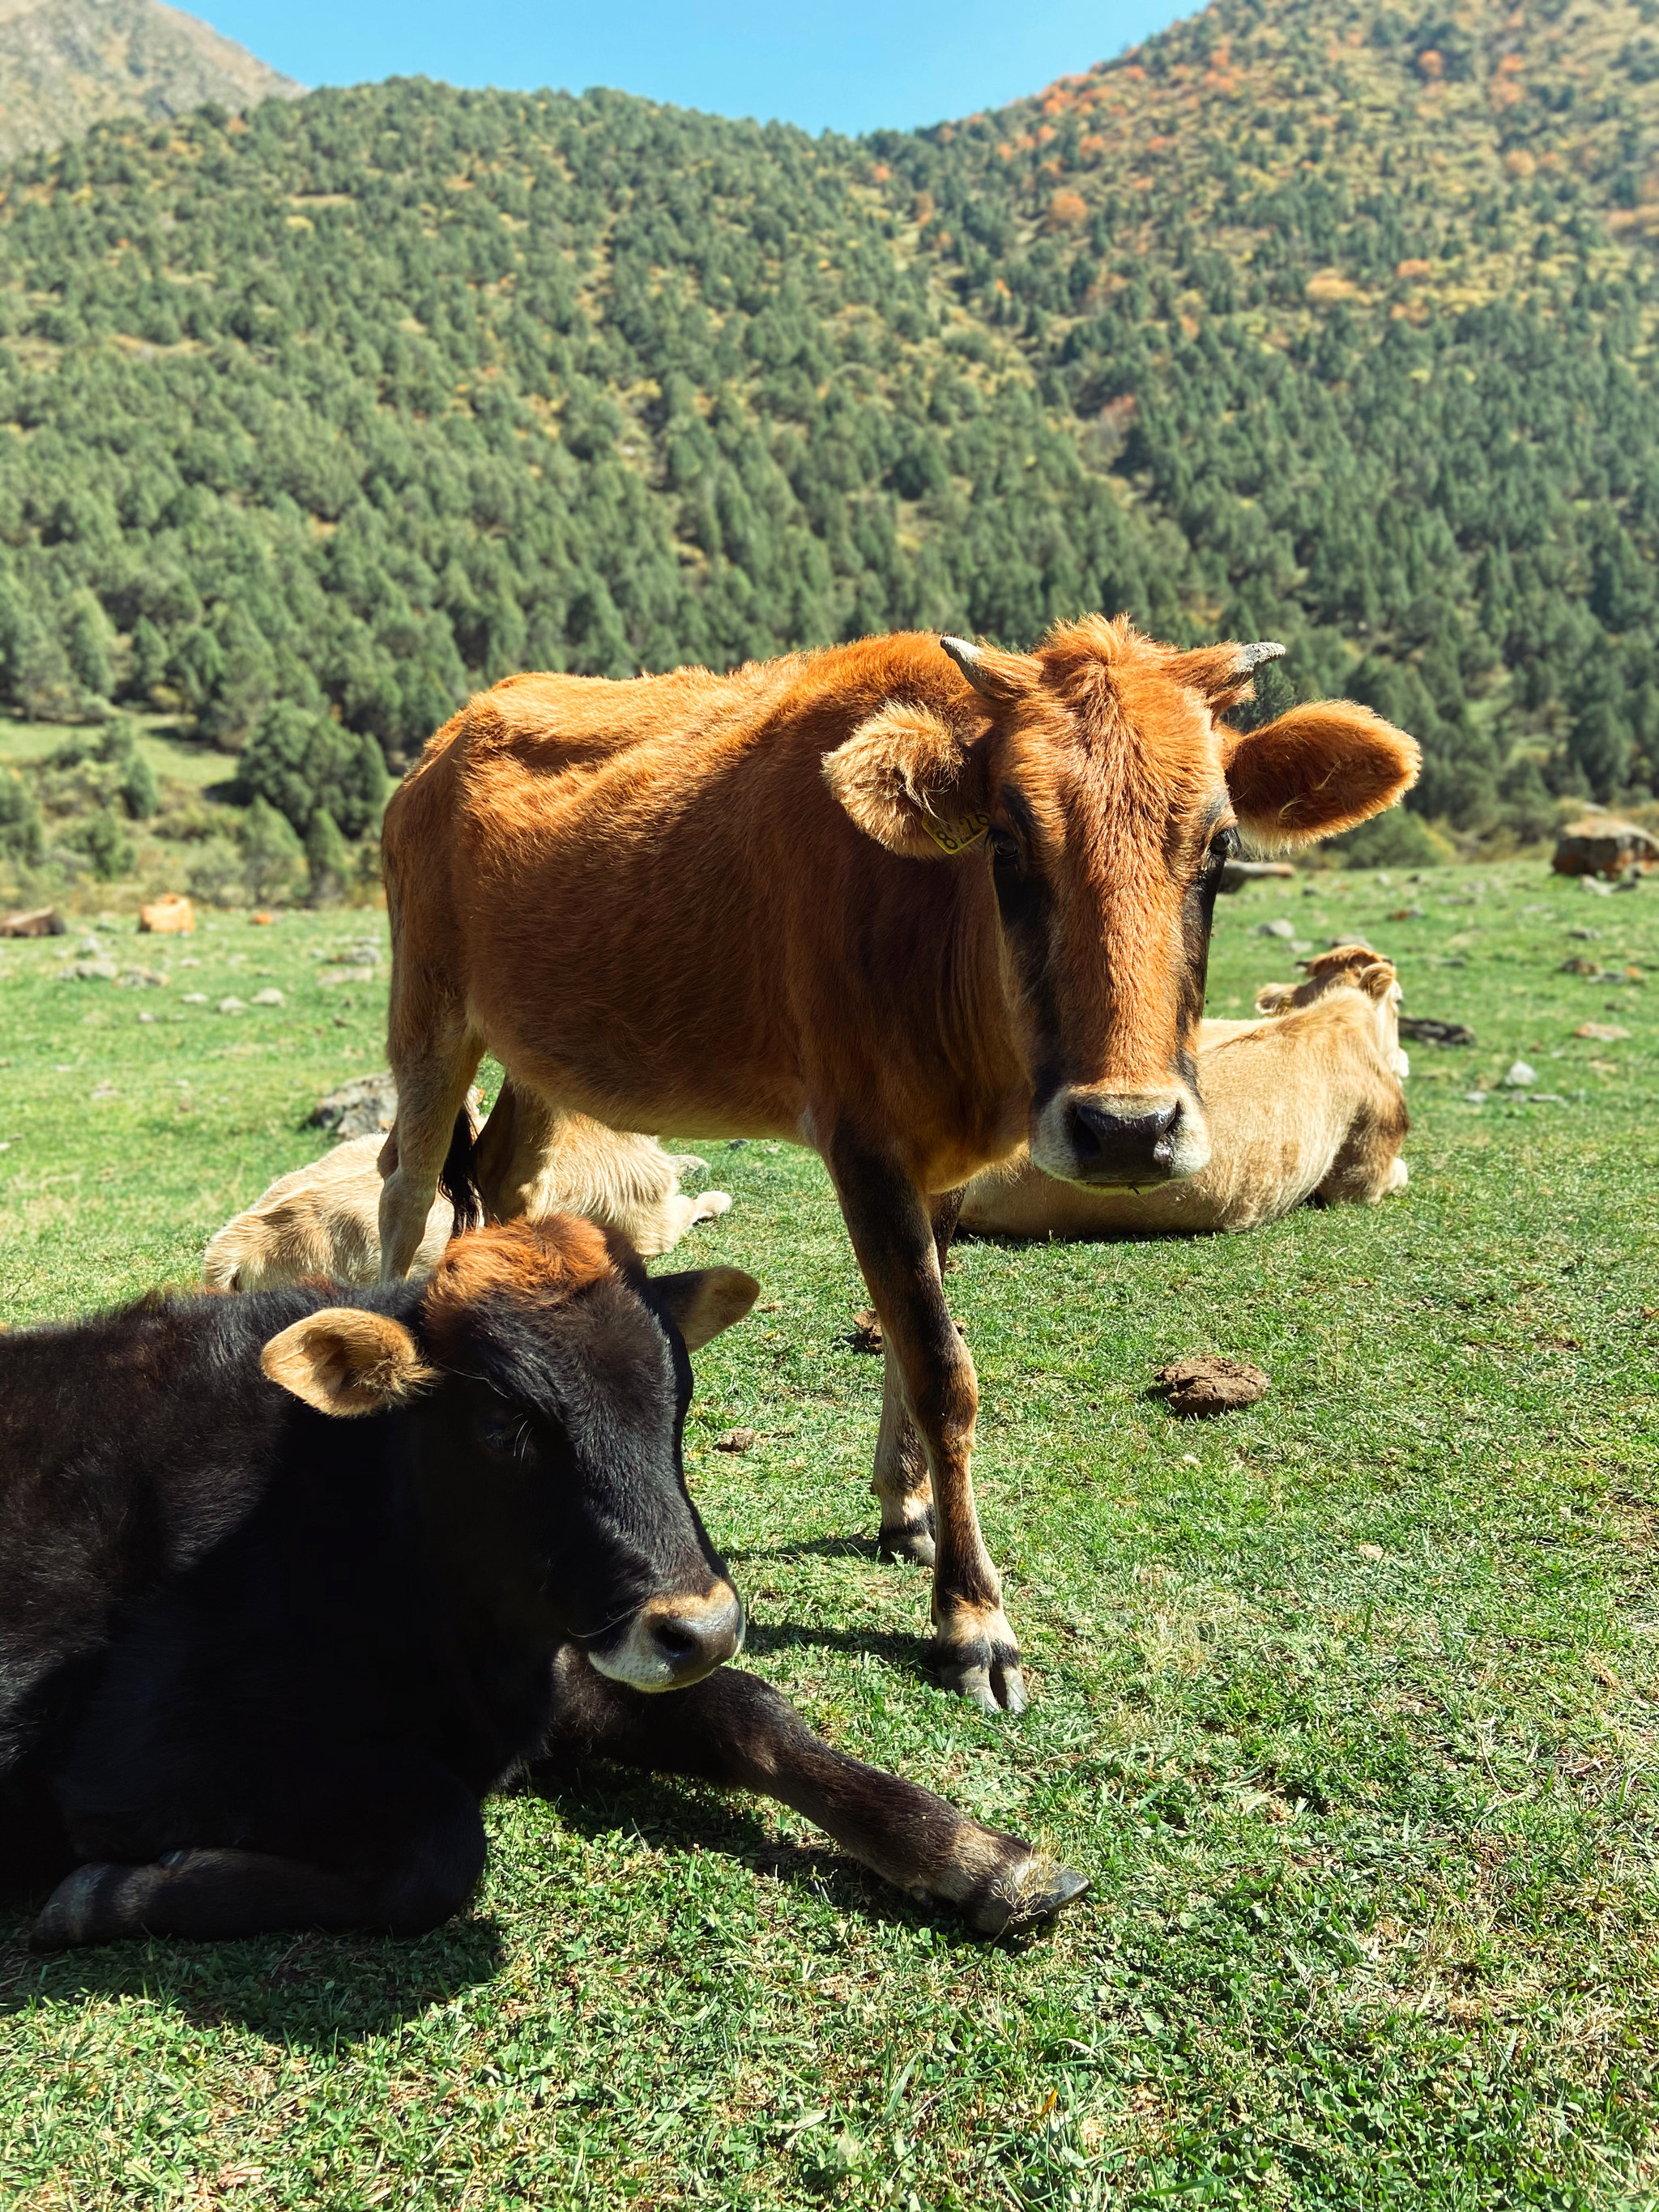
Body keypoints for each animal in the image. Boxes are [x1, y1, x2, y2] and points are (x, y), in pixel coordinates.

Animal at [0, 1221, 1092, 1946]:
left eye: (677, 1397)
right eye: (503, 1424)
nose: (702, 1627)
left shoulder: (569, 1660)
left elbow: (757, 1717)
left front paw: (977, 1853)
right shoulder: (125, 1763)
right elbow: (441, 1838)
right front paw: (110, 1896)